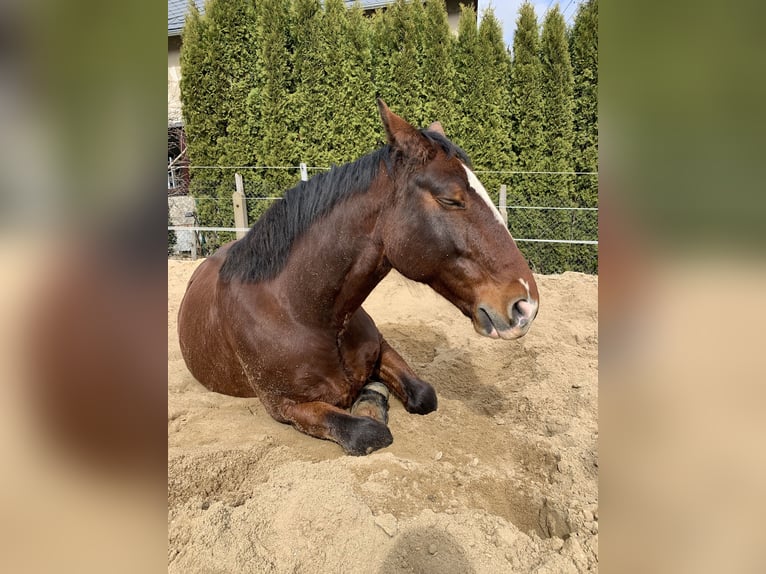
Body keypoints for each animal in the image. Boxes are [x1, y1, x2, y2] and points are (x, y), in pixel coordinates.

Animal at [179, 101, 540, 456]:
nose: (526, 305)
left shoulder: (383, 348)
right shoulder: (284, 405)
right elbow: (368, 432)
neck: (303, 313)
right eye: (450, 199)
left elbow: (423, 394)